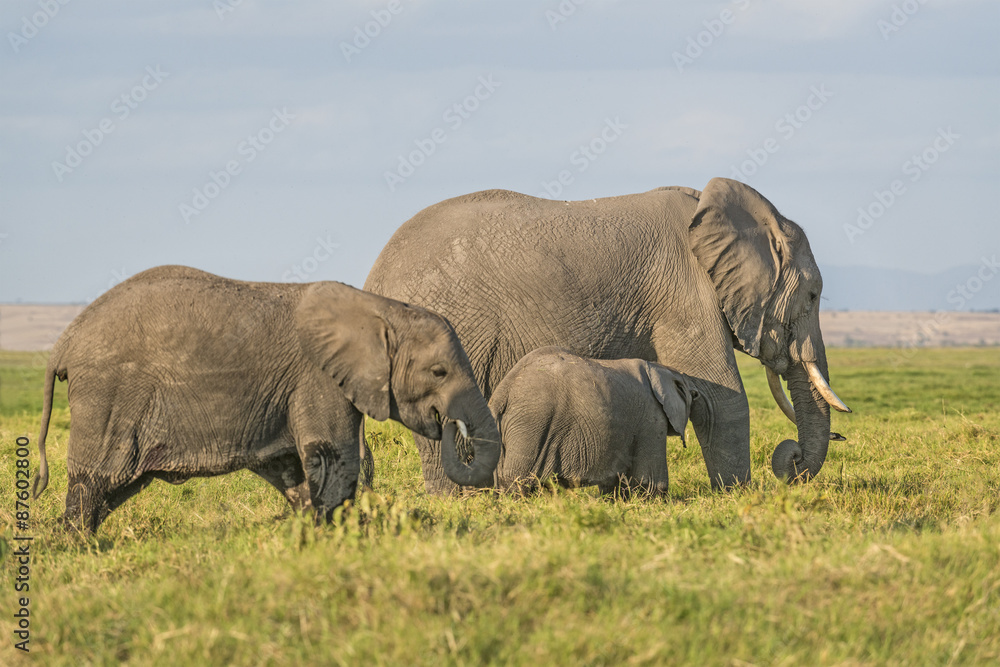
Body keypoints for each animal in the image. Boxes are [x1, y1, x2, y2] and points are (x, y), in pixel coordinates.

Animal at [32, 265, 500, 533]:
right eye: (438, 372)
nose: (448, 423)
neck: (380, 310)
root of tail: (63, 343)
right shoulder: (317, 378)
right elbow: (334, 456)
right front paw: (334, 538)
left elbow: (290, 466)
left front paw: (312, 531)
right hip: (108, 397)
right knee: (96, 479)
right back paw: (76, 545)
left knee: (113, 488)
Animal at [489, 347, 695, 497]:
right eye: (693, 396)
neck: (660, 370)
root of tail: (503, 390)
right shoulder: (652, 418)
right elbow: (650, 483)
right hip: (531, 424)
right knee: (517, 480)